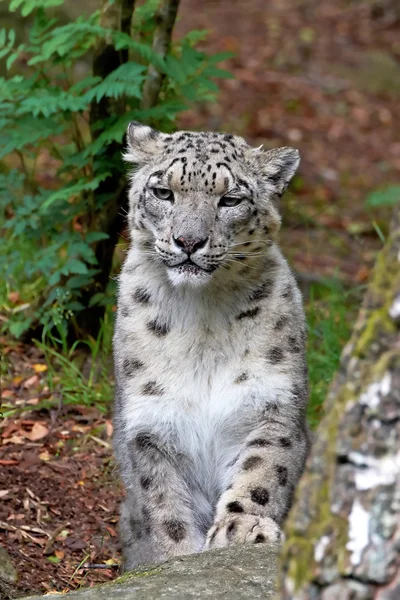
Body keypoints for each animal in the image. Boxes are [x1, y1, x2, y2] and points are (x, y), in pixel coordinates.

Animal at [112, 122, 310, 572]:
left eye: (231, 199)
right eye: (163, 191)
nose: (189, 241)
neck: (201, 320)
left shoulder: (272, 401)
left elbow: (261, 469)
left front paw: (243, 528)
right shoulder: (150, 422)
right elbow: (163, 503)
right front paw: (176, 557)